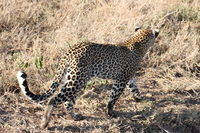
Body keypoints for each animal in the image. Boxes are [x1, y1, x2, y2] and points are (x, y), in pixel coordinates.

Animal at [16, 26, 159, 128]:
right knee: (54, 99)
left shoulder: (127, 77)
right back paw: (45, 122)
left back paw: (75, 117)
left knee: (68, 102)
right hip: (76, 81)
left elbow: (134, 87)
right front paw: (111, 112)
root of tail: (70, 51)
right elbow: (113, 97)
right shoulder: (122, 79)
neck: (138, 42)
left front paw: (139, 98)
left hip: (74, 79)